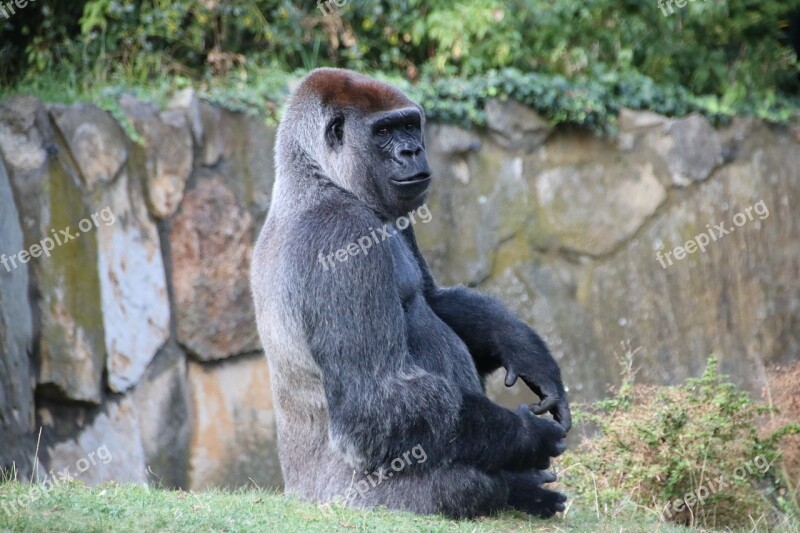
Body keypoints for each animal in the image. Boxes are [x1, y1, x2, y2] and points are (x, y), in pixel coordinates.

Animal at [253, 68, 572, 516]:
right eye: (384, 131)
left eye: (409, 125)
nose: (412, 150)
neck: (318, 178)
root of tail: (297, 494)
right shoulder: (339, 237)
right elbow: (375, 401)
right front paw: (527, 434)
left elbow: (436, 299)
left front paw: (524, 349)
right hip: (351, 502)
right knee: (464, 484)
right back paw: (517, 487)